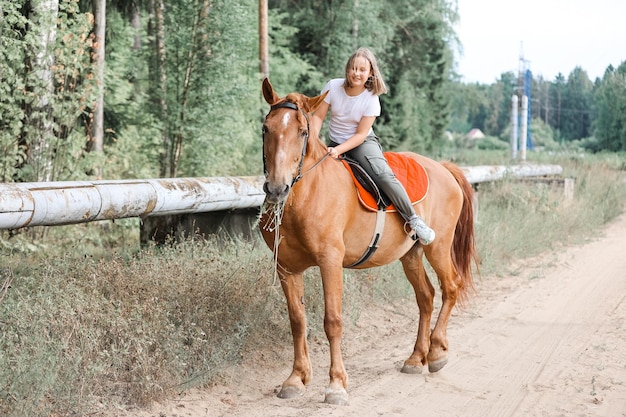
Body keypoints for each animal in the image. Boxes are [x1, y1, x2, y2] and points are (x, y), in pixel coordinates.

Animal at [256, 77, 476, 404]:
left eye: (303, 132)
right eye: (265, 128)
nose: (276, 188)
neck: (307, 195)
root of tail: (443, 168)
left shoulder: (330, 262)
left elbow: (332, 321)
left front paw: (336, 384)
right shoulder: (286, 268)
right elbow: (297, 321)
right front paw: (295, 379)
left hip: (437, 247)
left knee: (450, 287)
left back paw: (437, 352)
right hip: (410, 254)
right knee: (426, 296)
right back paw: (416, 358)